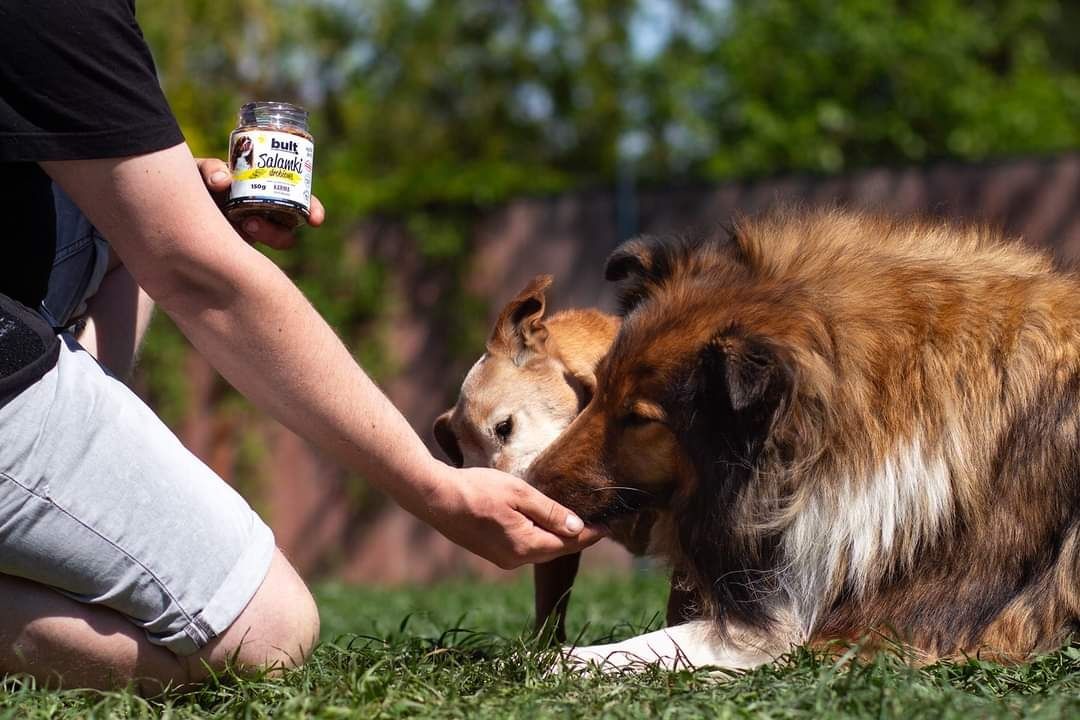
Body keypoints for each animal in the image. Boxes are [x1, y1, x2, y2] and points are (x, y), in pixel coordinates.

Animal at [531, 211, 1080, 673]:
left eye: (639, 418)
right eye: (598, 389)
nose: (531, 482)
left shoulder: (870, 631)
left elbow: (650, 646)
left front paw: (549, 661)